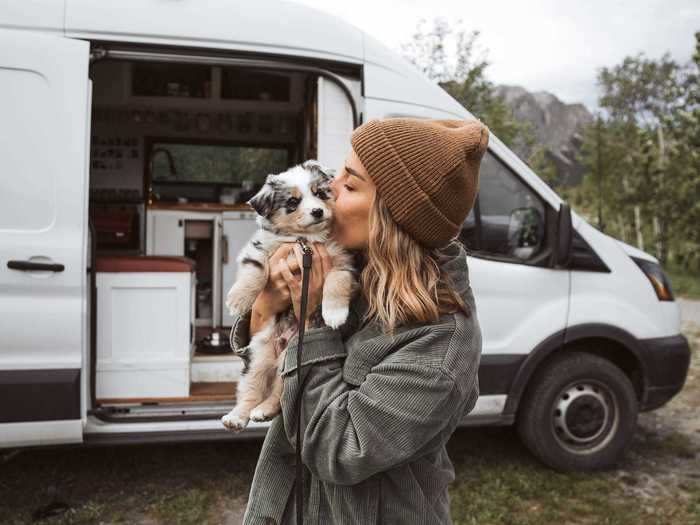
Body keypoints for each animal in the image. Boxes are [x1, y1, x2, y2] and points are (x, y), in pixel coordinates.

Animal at [221, 162, 358, 432]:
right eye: (293, 202)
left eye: (320, 193)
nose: (317, 211)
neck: (304, 241)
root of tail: (282, 346)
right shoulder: (260, 247)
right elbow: (256, 271)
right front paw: (239, 299)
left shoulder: (342, 261)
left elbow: (337, 282)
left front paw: (335, 314)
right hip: (259, 358)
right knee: (251, 390)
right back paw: (237, 417)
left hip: (292, 362)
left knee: (280, 394)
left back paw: (263, 410)